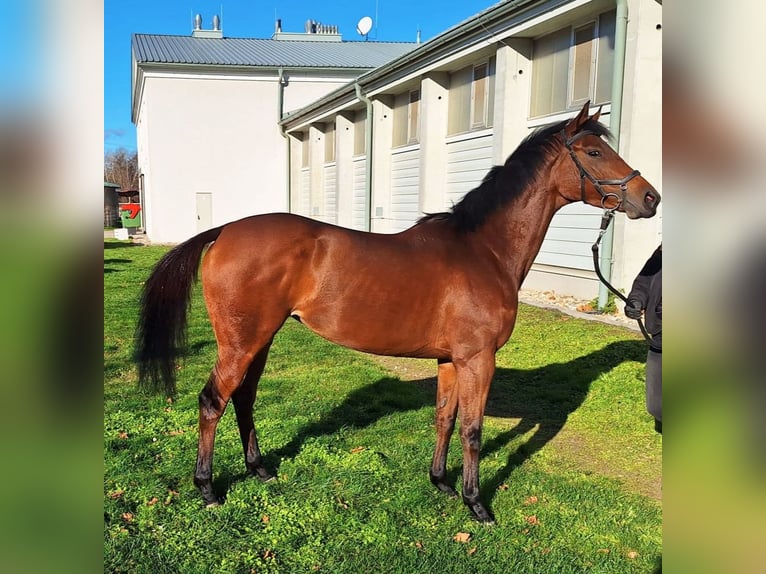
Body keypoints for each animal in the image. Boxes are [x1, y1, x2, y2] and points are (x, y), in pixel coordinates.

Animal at [134, 101, 660, 524]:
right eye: (593, 152)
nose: (650, 198)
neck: (483, 250)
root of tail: (224, 230)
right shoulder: (478, 359)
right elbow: (473, 429)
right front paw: (477, 504)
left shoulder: (452, 360)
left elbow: (445, 418)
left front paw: (442, 483)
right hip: (241, 342)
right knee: (213, 401)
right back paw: (207, 489)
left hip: (260, 339)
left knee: (243, 399)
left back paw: (260, 469)